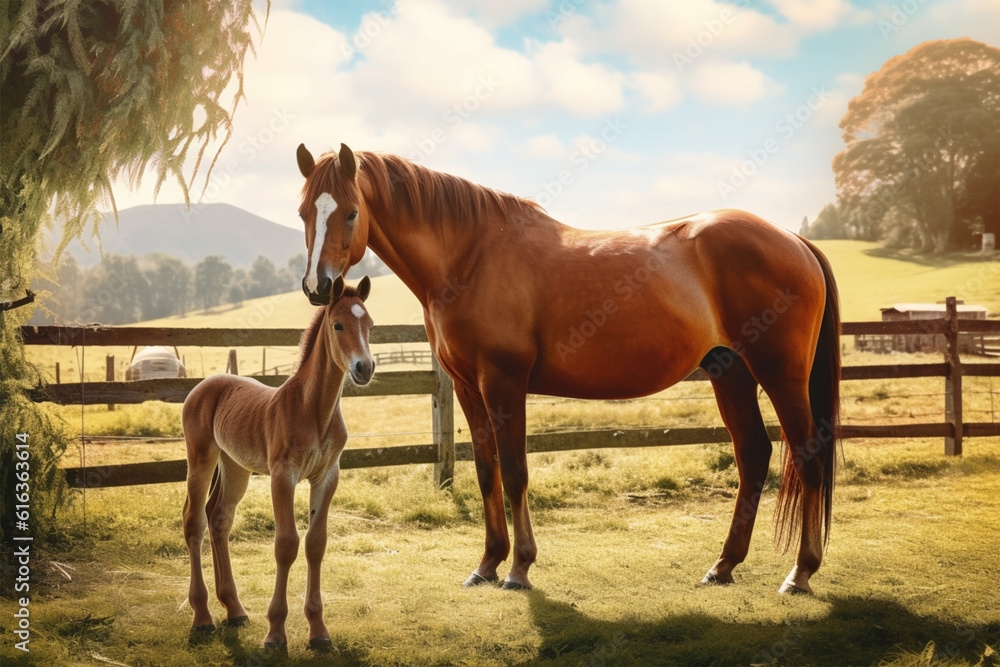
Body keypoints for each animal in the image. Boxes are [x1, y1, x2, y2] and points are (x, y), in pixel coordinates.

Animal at [182, 274, 374, 648]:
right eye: (338, 324)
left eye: (370, 325)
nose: (365, 367)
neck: (313, 410)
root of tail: (205, 384)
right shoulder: (282, 475)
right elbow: (286, 544)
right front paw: (275, 633)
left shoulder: (327, 475)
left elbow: (315, 543)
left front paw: (318, 631)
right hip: (201, 459)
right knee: (194, 523)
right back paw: (202, 617)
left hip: (235, 466)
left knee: (219, 518)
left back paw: (235, 609)